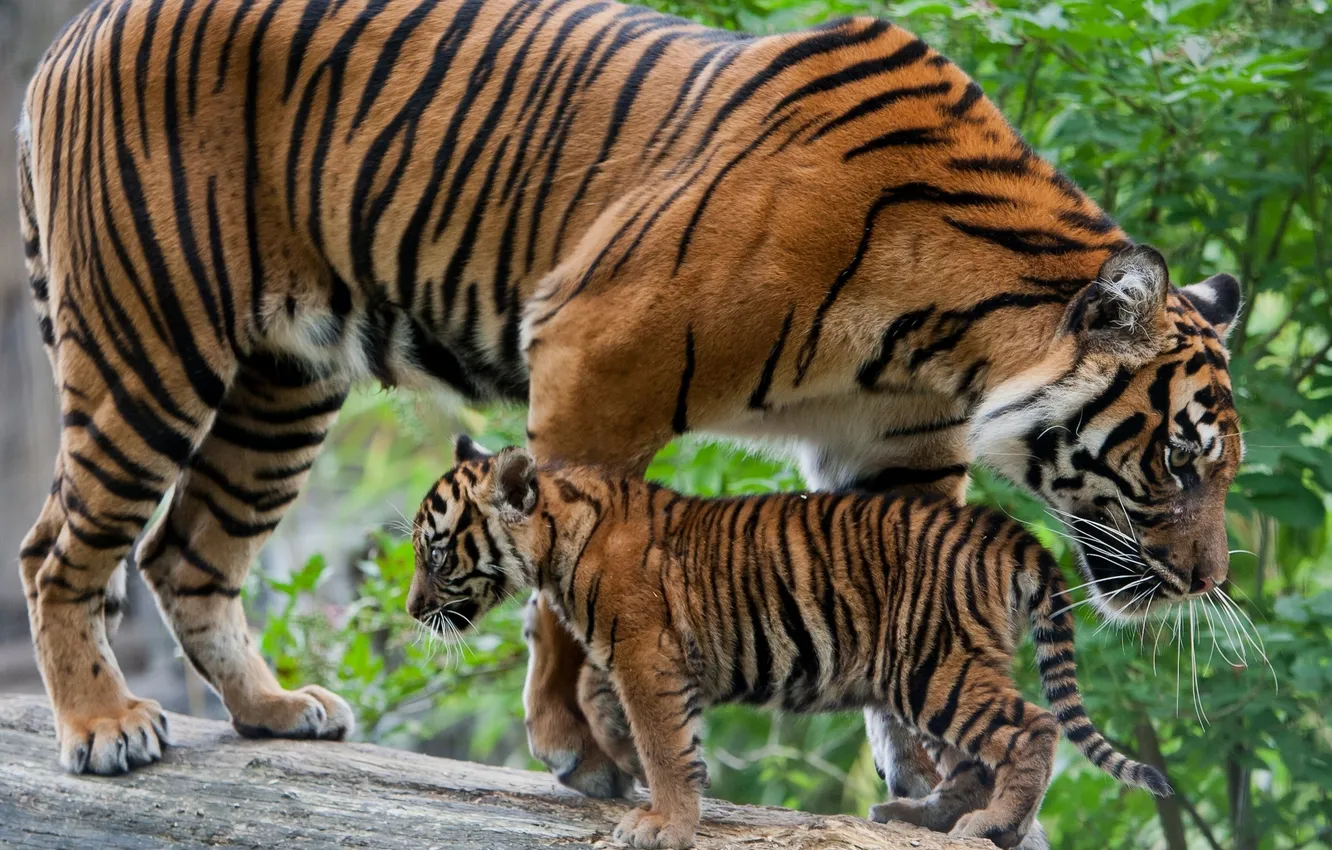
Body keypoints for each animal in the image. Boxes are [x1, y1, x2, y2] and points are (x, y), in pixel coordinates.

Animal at [16, 0, 1241, 785]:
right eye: (1183, 457)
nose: (1206, 582)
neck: (946, 334)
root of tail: (75, 31)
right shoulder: (595, 362)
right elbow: (563, 590)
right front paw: (578, 750)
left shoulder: (897, 453)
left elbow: (900, 602)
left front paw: (929, 775)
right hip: (149, 344)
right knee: (60, 548)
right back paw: (104, 726)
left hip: (285, 379)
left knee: (188, 553)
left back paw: (276, 712)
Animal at [406, 437, 1172, 849]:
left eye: (436, 555)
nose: (413, 609)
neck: (558, 535)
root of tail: (1004, 530)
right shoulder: (639, 657)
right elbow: (624, 714)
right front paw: (619, 764)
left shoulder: (646, 657)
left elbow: (663, 744)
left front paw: (665, 822)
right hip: (937, 669)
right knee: (971, 759)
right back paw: (920, 814)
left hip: (934, 665)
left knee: (1031, 728)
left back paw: (994, 826)